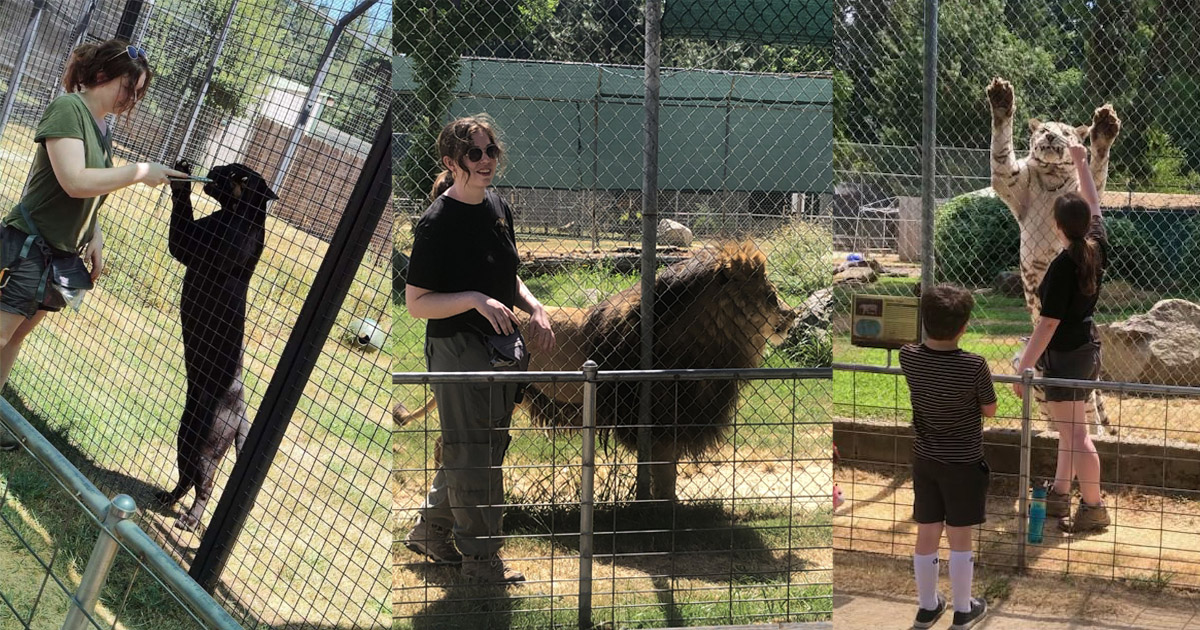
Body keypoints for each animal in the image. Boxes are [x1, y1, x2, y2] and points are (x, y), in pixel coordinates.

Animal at [398, 241, 801, 501]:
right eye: (769, 294)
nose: (792, 314)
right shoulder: (661, 421)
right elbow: (665, 475)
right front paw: (665, 518)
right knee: (446, 446)